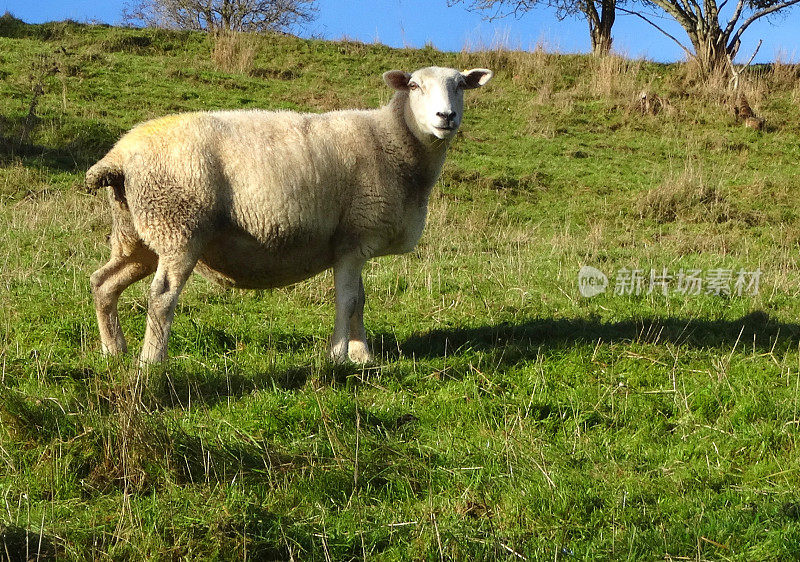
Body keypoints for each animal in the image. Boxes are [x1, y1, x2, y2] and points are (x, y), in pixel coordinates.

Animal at [84, 65, 490, 364]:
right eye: (416, 86)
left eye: (461, 86)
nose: (446, 116)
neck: (393, 142)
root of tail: (119, 155)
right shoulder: (354, 238)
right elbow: (348, 300)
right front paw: (338, 357)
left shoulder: (355, 245)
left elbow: (359, 300)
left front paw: (363, 356)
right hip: (178, 224)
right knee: (161, 297)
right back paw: (151, 362)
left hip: (138, 232)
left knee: (103, 282)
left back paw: (113, 350)